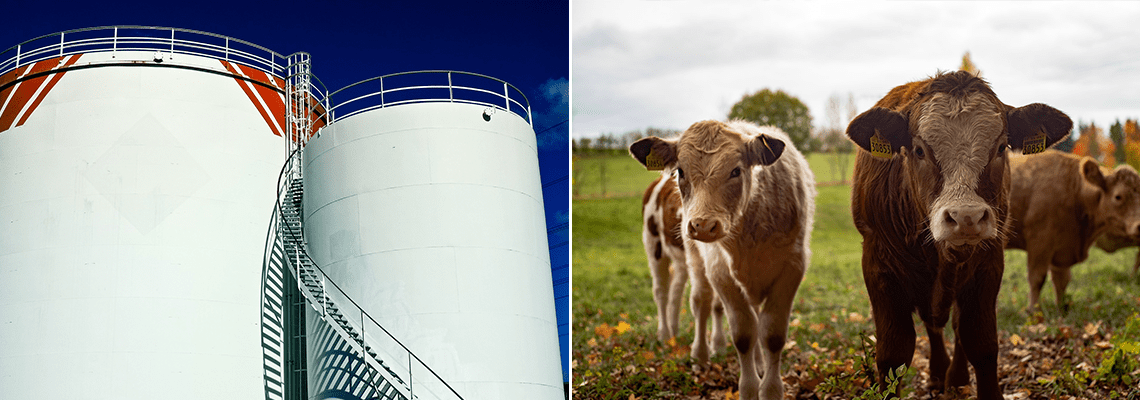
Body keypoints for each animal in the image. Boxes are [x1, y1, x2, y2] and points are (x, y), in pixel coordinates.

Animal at [638, 174, 725, 362]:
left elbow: (718, 304)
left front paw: (719, 346)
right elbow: (702, 299)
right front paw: (702, 354)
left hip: (681, 260)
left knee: (675, 291)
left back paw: (673, 331)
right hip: (653, 244)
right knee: (661, 291)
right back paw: (664, 334)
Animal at [852, 70, 1071, 398]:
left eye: (1001, 147)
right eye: (919, 150)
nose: (966, 217)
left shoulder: (989, 263)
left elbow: (981, 343)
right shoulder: (878, 266)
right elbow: (893, 354)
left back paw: (954, 377)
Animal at [1007, 150, 1140, 309]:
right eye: (1118, 196)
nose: (1139, 225)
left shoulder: (1062, 250)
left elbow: (1061, 282)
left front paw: (1061, 309)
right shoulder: (1039, 242)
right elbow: (1037, 279)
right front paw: (1033, 310)